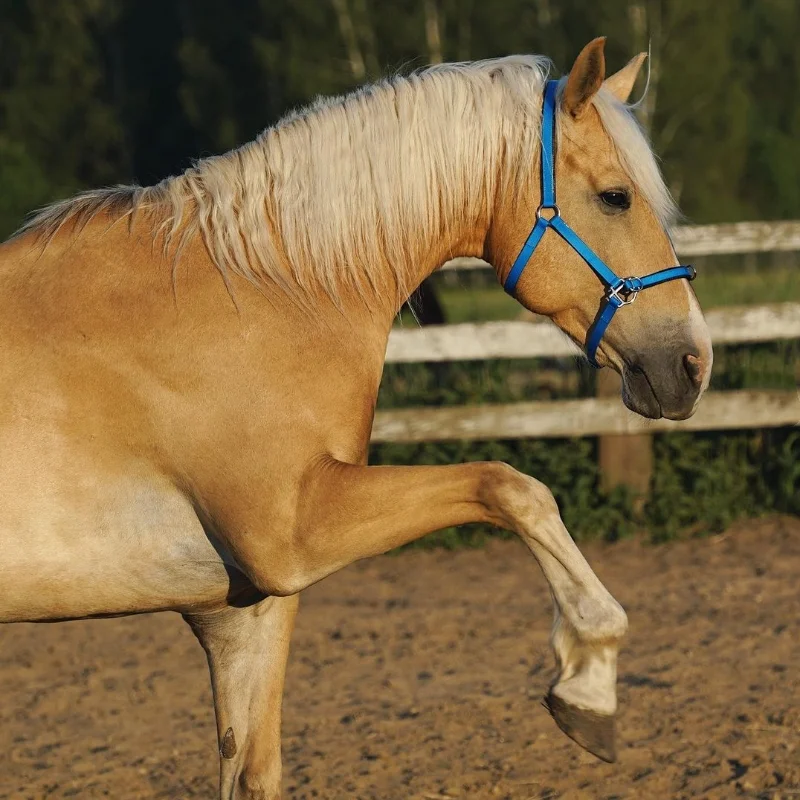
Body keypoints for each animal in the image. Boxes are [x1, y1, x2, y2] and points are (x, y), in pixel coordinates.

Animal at [0, 37, 711, 799]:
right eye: (616, 197)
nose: (693, 364)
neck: (258, 292)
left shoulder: (243, 609)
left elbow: (252, 772)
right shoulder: (292, 535)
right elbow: (513, 487)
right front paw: (589, 678)